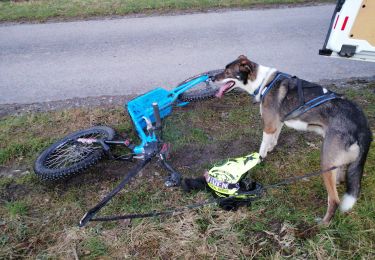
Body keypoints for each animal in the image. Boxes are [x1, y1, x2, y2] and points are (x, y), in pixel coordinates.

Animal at [212, 55, 374, 225]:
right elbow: (273, 140)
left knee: (334, 200)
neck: (263, 82)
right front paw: (270, 149)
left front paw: (259, 159)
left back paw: (323, 224)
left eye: (227, 72)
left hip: (326, 161)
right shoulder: (277, 123)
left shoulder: (269, 125)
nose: (211, 78)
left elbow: (262, 146)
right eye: (224, 69)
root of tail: (363, 126)